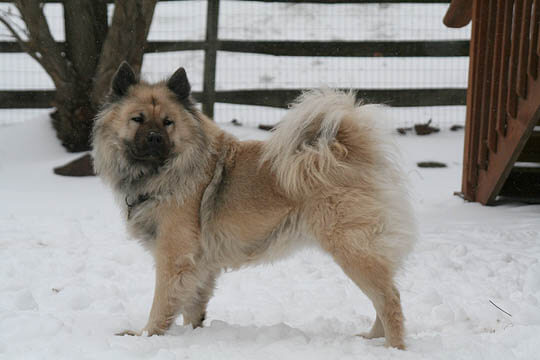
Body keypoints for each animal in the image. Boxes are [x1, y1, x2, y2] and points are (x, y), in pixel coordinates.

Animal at [90, 62, 416, 348]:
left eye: (168, 122)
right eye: (138, 119)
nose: (155, 138)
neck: (169, 171)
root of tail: (349, 151)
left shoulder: (174, 257)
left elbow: (161, 303)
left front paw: (144, 335)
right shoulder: (201, 266)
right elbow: (193, 307)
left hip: (351, 248)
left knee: (390, 299)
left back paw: (393, 347)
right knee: (383, 297)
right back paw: (373, 339)